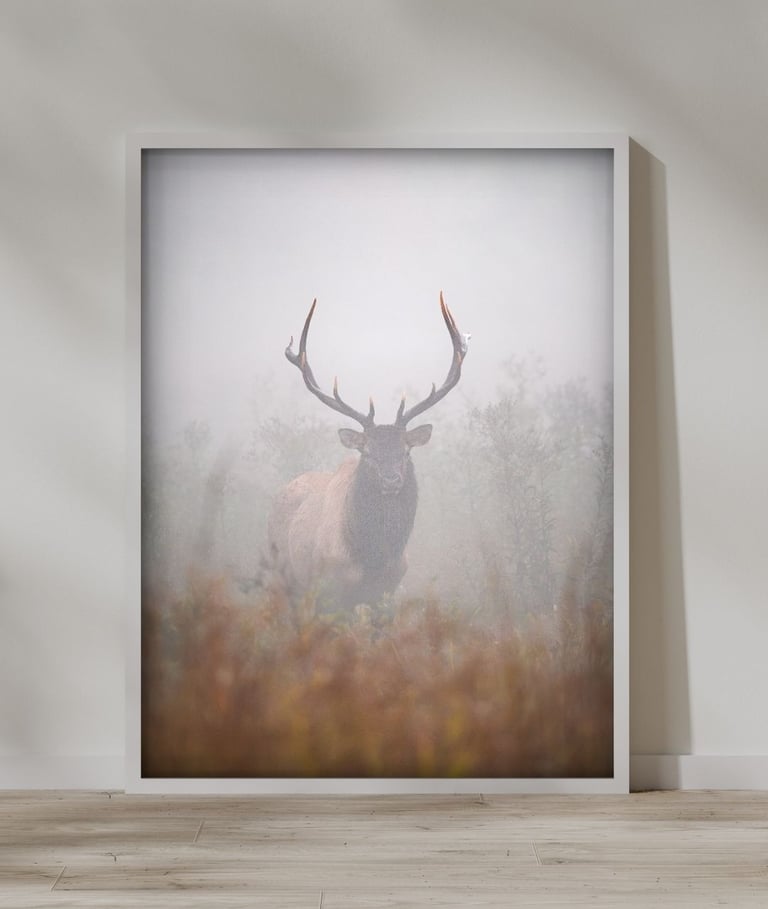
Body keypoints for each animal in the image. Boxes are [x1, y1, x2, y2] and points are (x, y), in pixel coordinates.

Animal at [268, 292, 467, 613]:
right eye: (369, 452)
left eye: (405, 451)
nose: (391, 480)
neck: (372, 559)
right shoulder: (333, 594)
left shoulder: (387, 592)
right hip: (282, 577)